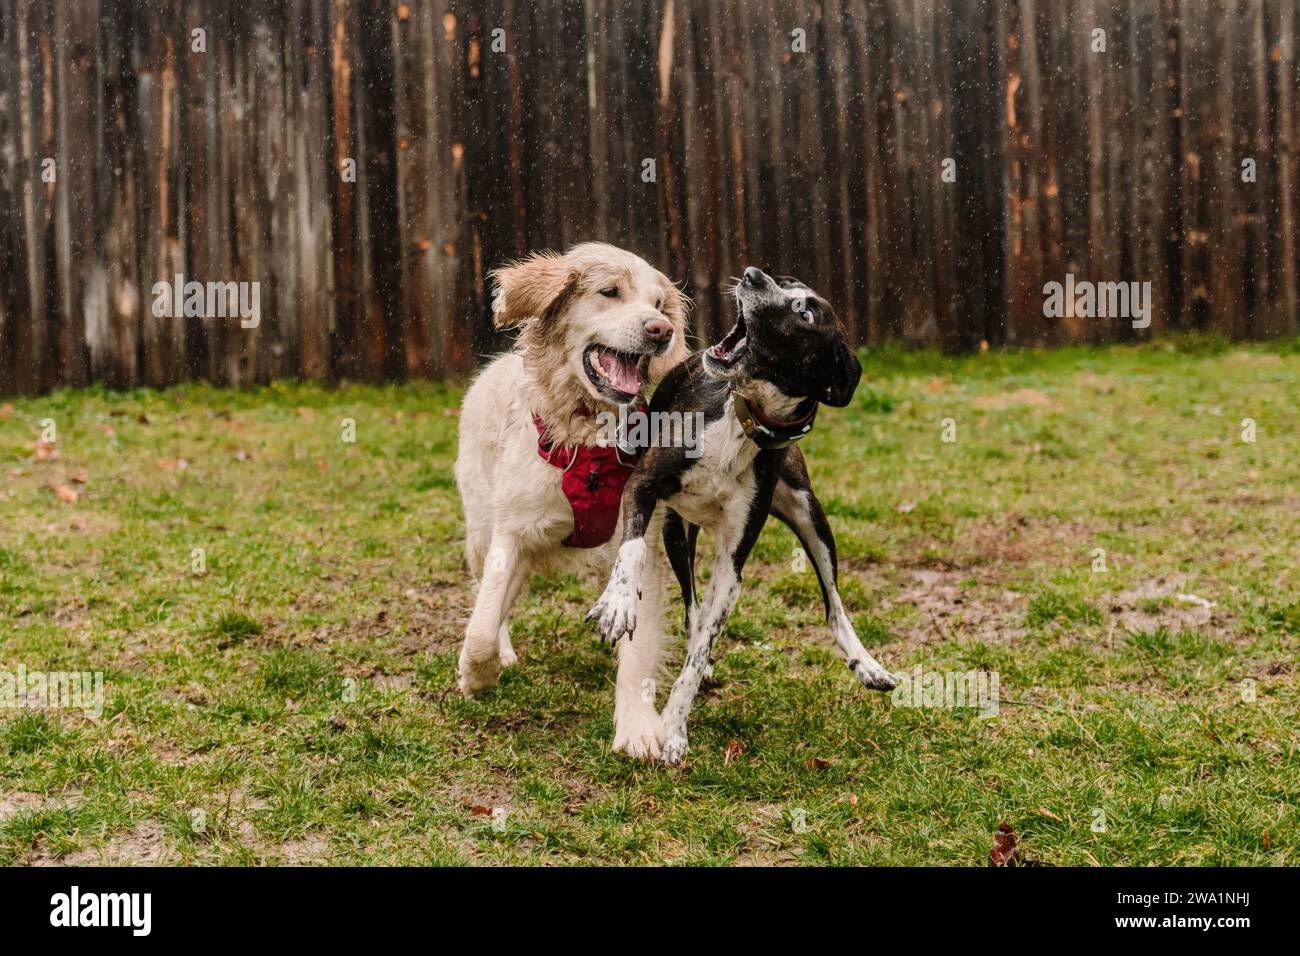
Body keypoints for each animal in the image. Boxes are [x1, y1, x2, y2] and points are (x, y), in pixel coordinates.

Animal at [454, 243, 686, 759]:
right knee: (488, 597)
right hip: (480, 527)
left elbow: (638, 649)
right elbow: (481, 622)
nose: (661, 331)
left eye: (659, 304)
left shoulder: (638, 540)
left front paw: (637, 726)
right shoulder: (510, 531)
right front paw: (477, 673)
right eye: (610, 292)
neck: (587, 433)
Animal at [590, 265, 894, 764]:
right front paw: (616, 604)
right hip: (677, 530)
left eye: (805, 312)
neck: (740, 421)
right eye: (784, 280)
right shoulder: (643, 485)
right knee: (691, 601)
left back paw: (866, 664)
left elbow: (695, 660)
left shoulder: (732, 566)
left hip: (810, 514)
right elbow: (632, 551)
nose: (752, 274)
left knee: (833, 604)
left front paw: (673, 729)